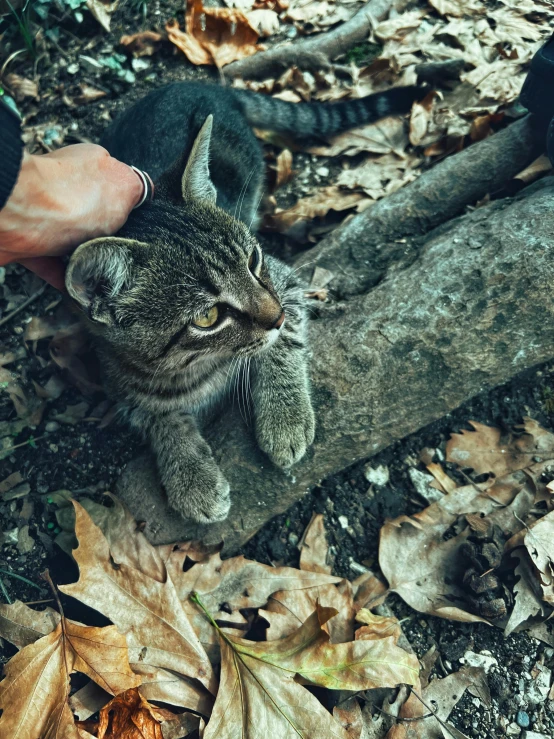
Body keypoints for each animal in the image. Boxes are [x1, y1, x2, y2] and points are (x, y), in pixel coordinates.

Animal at [64, 81, 422, 524]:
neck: (193, 369)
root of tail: (195, 82)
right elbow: (159, 418)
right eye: (208, 315)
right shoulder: (119, 382)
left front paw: (284, 419)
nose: (276, 316)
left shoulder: (285, 283)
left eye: (253, 261)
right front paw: (190, 474)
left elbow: (282, 347)